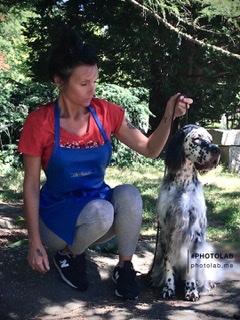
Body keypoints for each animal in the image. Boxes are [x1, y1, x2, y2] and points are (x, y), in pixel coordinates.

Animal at [151, 124, 220, 302]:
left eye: (210, 139)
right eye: (196, 139)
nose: (217, 150)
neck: (183, 185)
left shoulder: (194, 232)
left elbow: (191, 268)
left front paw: (191, 290)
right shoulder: (167, 231)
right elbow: (168, 264)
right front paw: (168, 288)